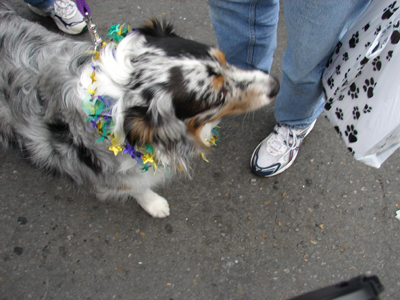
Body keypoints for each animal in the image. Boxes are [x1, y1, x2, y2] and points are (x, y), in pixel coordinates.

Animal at [0, 2, 278, 218]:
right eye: (219, 97)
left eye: (224, 59)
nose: (275, 86)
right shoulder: (111, 173)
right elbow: (137, 187)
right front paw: (154, 204)